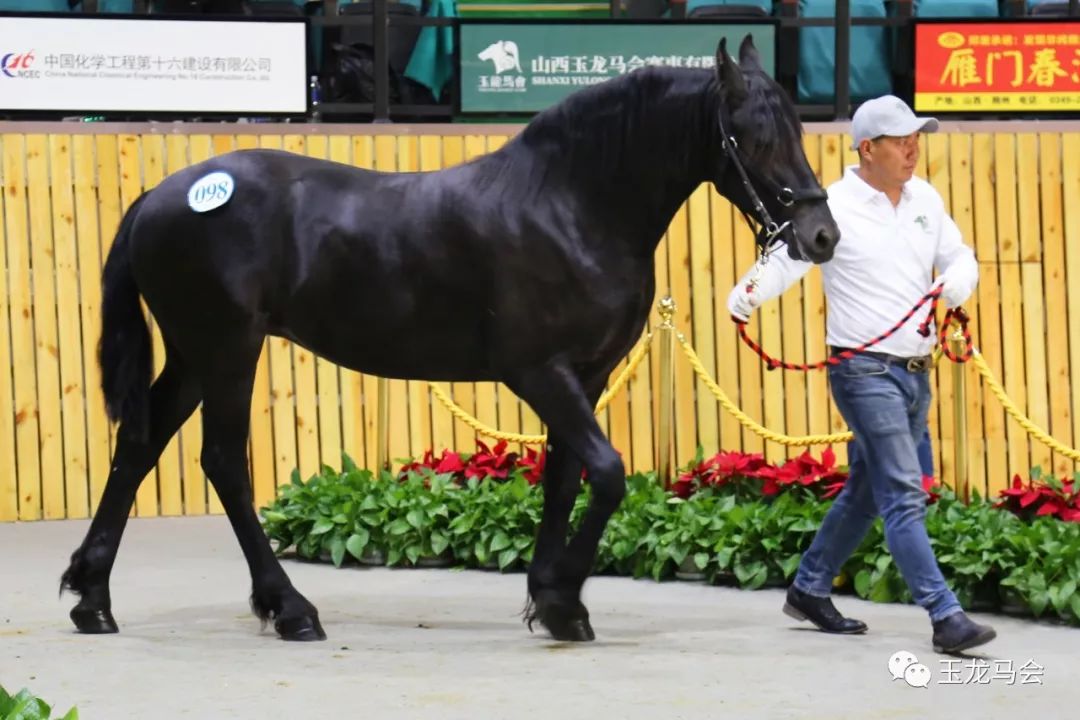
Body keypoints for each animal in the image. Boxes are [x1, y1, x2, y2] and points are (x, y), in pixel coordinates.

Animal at [61, 35, 842, 643]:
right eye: (751, 136)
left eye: (796, 129)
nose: (821, 235)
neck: (568, 204)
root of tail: (161, 195)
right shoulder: (538, 371)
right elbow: (609, 472)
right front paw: (564, 599)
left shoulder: (583, 376)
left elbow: (564, 475)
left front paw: (551, 599)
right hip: (227, 349)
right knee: (223, 462)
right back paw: (290, 609)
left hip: (195, 355)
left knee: (138, 446)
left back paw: (92, 599)